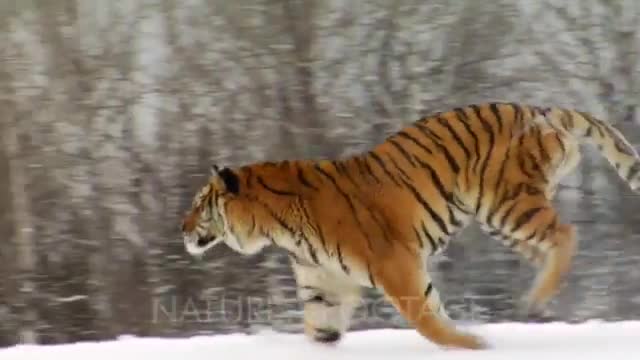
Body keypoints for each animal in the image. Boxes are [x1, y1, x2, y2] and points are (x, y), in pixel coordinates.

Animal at [180, 102, 640, 350]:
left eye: (200, 204)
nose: (181, 229)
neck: (277, 229)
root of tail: (542, 110)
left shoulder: (394, 265)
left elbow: (426, 319)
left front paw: (473, 345)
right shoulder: (322, 285)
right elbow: (321, 332)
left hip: (506, 204)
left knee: (567, 234)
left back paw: (536, 299)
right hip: (502, 217)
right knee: (548, 244)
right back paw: (535, 296)